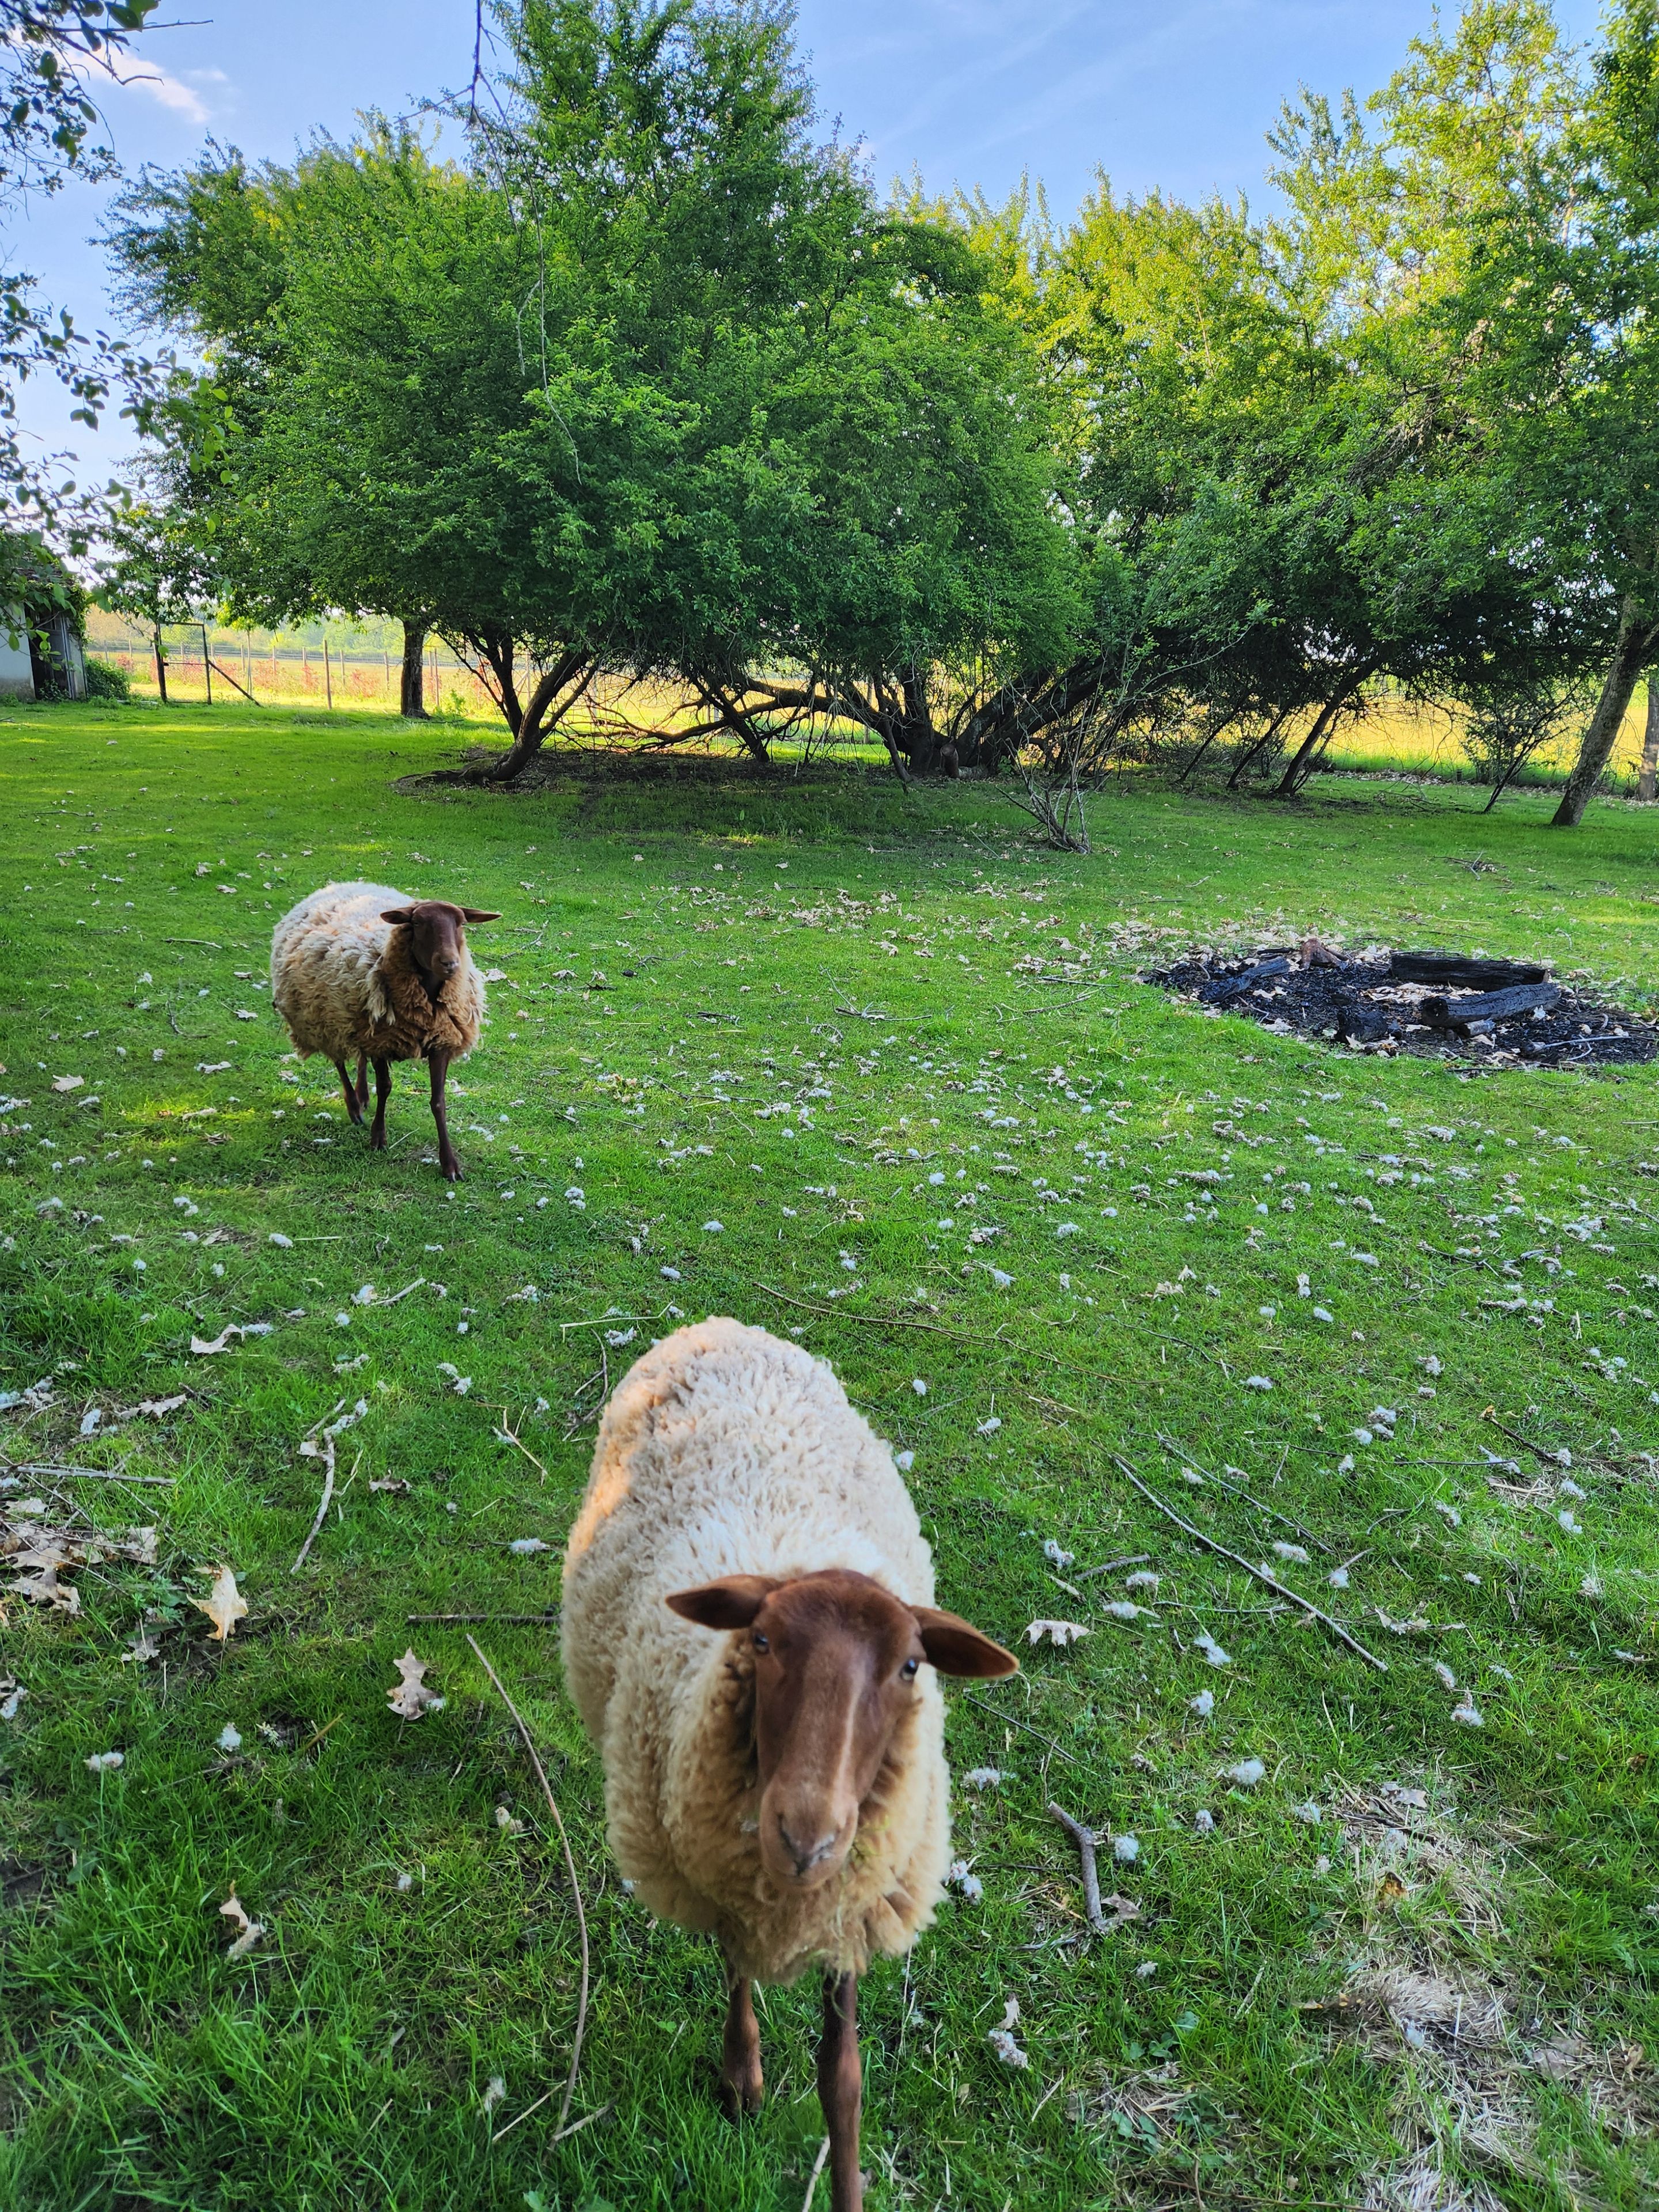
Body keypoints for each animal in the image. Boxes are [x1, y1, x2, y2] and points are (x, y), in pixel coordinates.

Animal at [270, 883, 499, 1180]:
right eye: (417, 923)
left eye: (461, 923)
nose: (449, 963)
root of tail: (342, 885)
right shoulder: (382, 1043)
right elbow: (385, 1087)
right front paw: (378, 1138)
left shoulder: (440, 1042)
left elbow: (438, 1102)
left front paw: (450, 1164)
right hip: (327, 1020)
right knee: (340, 1061)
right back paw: (354, 1106)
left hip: (356, 1018)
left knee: (359, 1057)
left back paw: (362, 1096)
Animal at [562, 1316, 1016, 2212]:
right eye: (763, 1640)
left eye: (910, 1666)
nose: (807, 1838)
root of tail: (717, 1323)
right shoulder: (725, 1874)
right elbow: (737, 1969)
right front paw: (742, 2076)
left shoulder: (854, 1904)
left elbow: (843, 2081)